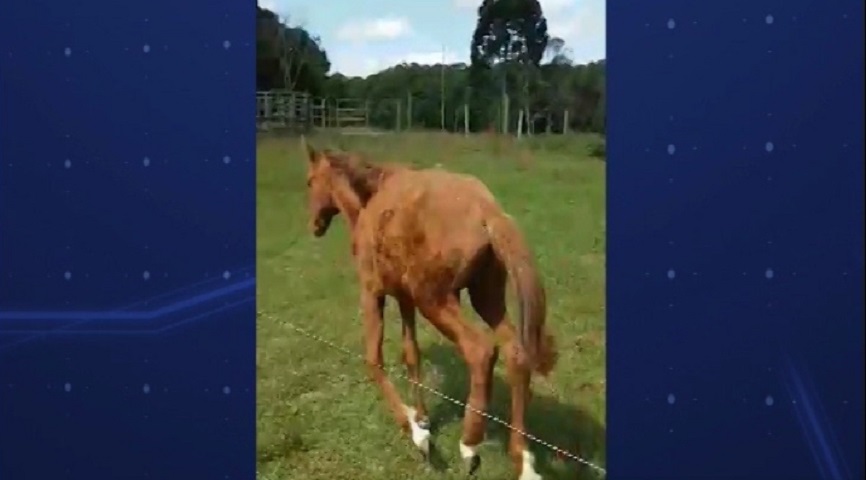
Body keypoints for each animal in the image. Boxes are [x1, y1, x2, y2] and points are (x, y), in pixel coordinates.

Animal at [300, 139, 556, 480]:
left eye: (309, 181)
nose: (315, 225)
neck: (370, 201)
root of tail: (488, 211)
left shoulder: (372, 292)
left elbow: (373, 360)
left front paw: (417, 433)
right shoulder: (404, 298)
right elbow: (412, 353)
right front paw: (422, 417)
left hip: (435, 300)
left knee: (480, 350)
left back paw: (469, 445)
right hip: (484, 297)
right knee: (515, 352)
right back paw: (524, 461)